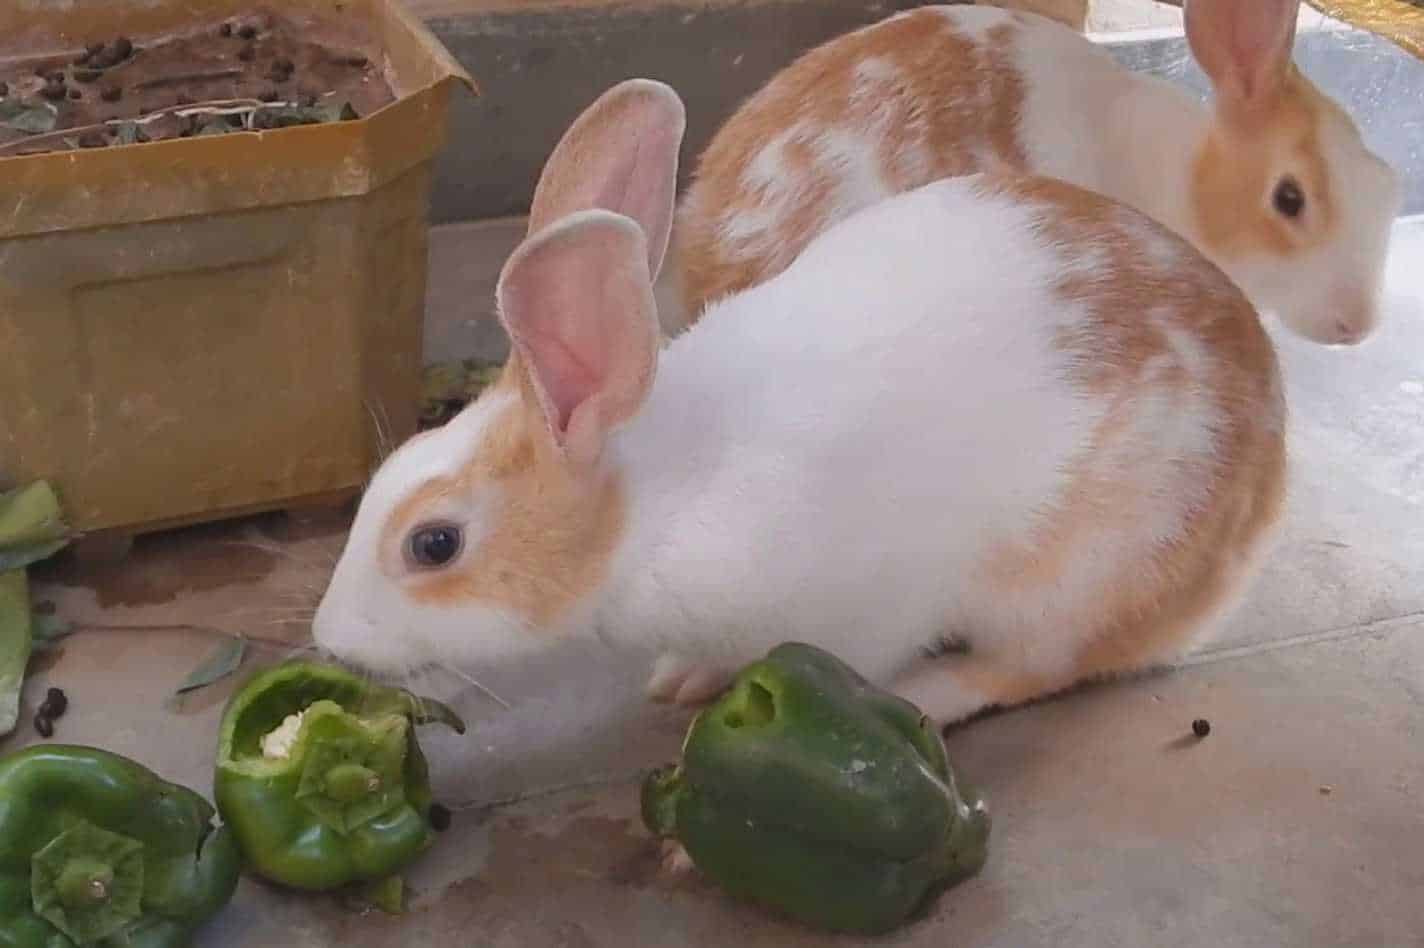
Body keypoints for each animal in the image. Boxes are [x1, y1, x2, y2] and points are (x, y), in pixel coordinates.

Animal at [314, 77, 1292, 720]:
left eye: (434, 545)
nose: (330, 641)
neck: (651, 508)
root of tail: (1262, 497)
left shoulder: (864, 613)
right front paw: (682, 677)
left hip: (1085, 574)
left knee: (1034, 666)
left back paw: (933, 695)